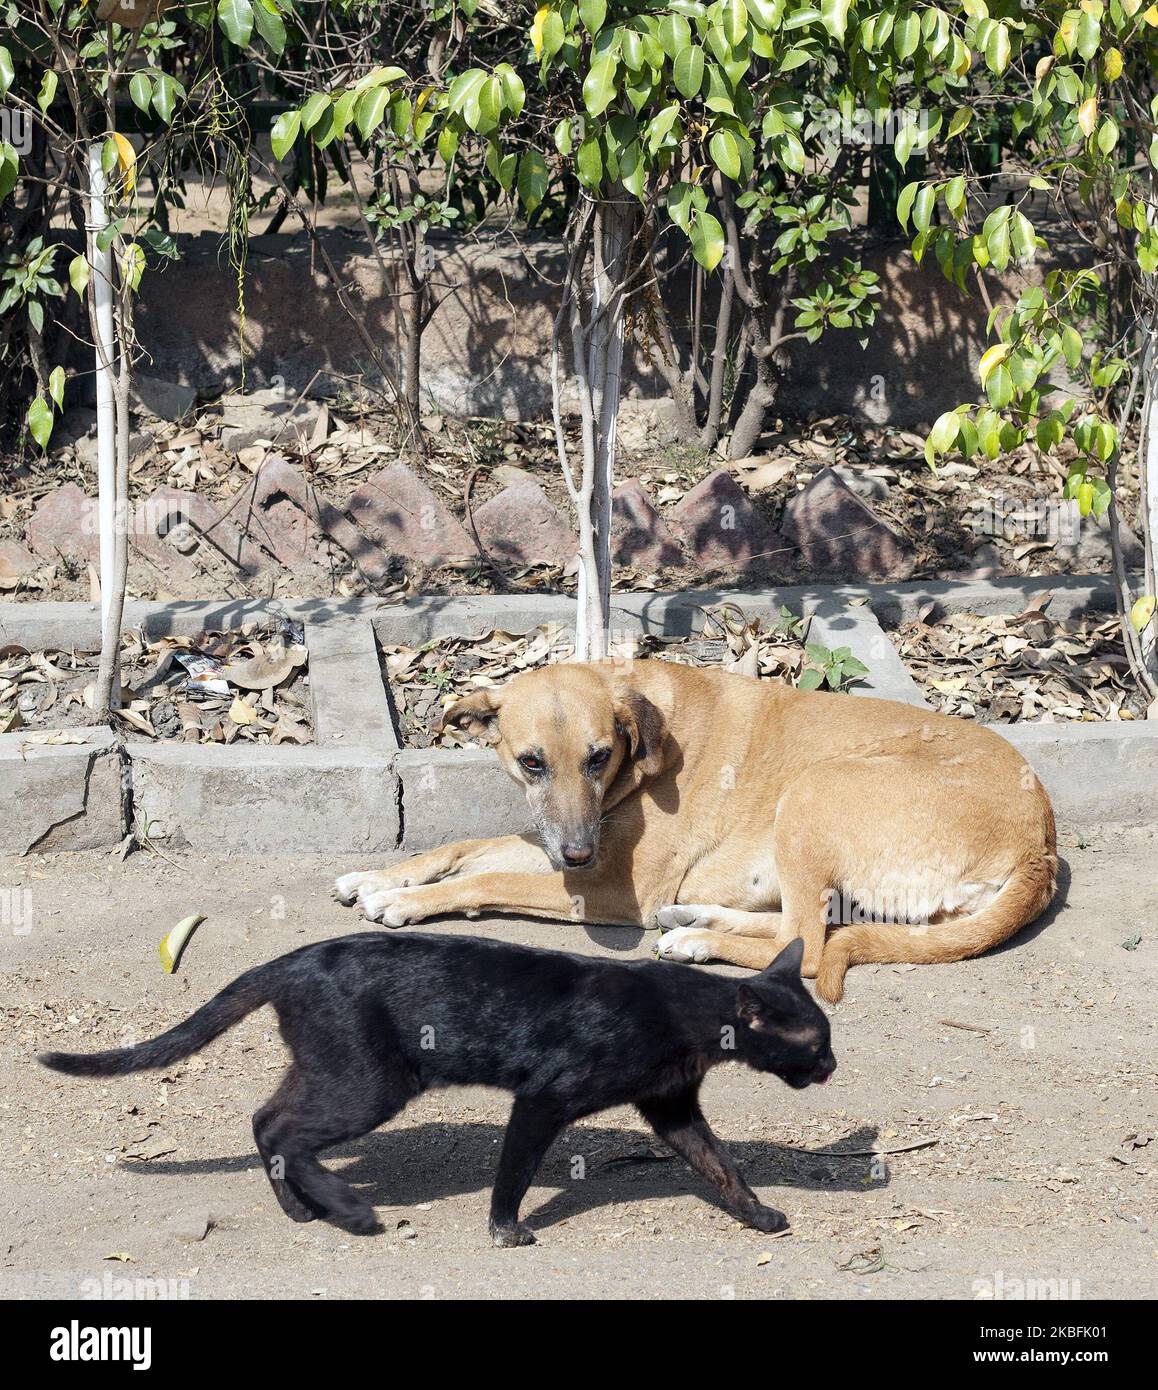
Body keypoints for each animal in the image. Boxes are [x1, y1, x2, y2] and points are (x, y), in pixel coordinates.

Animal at [38, 928, 834, 1245]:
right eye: (815, 1042)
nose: (831, 1069)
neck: (683, 1015)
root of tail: (294, 959)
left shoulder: (672, 1108)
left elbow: (721, 1165)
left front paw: (759, 1215)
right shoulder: (543, 1097)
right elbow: (514, 1172)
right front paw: (506, 1229)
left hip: (335, 1072)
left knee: (265, 1120)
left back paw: (302, 1211)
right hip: (372, 1083)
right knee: (283, 1129)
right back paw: (351, 1213)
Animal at [329, 661, 1050, 1000]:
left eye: (599, 756)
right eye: (532, 762)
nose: (577, 853)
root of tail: (1041, 842)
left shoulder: (613, 889)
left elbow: (489, 878)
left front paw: (403, 900)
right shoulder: (565, 847)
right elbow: (463, 849)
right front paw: (377, 876)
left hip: (812, 793)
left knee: (806, 947)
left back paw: (698, 941)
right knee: (801, 927)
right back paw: (697, 922)